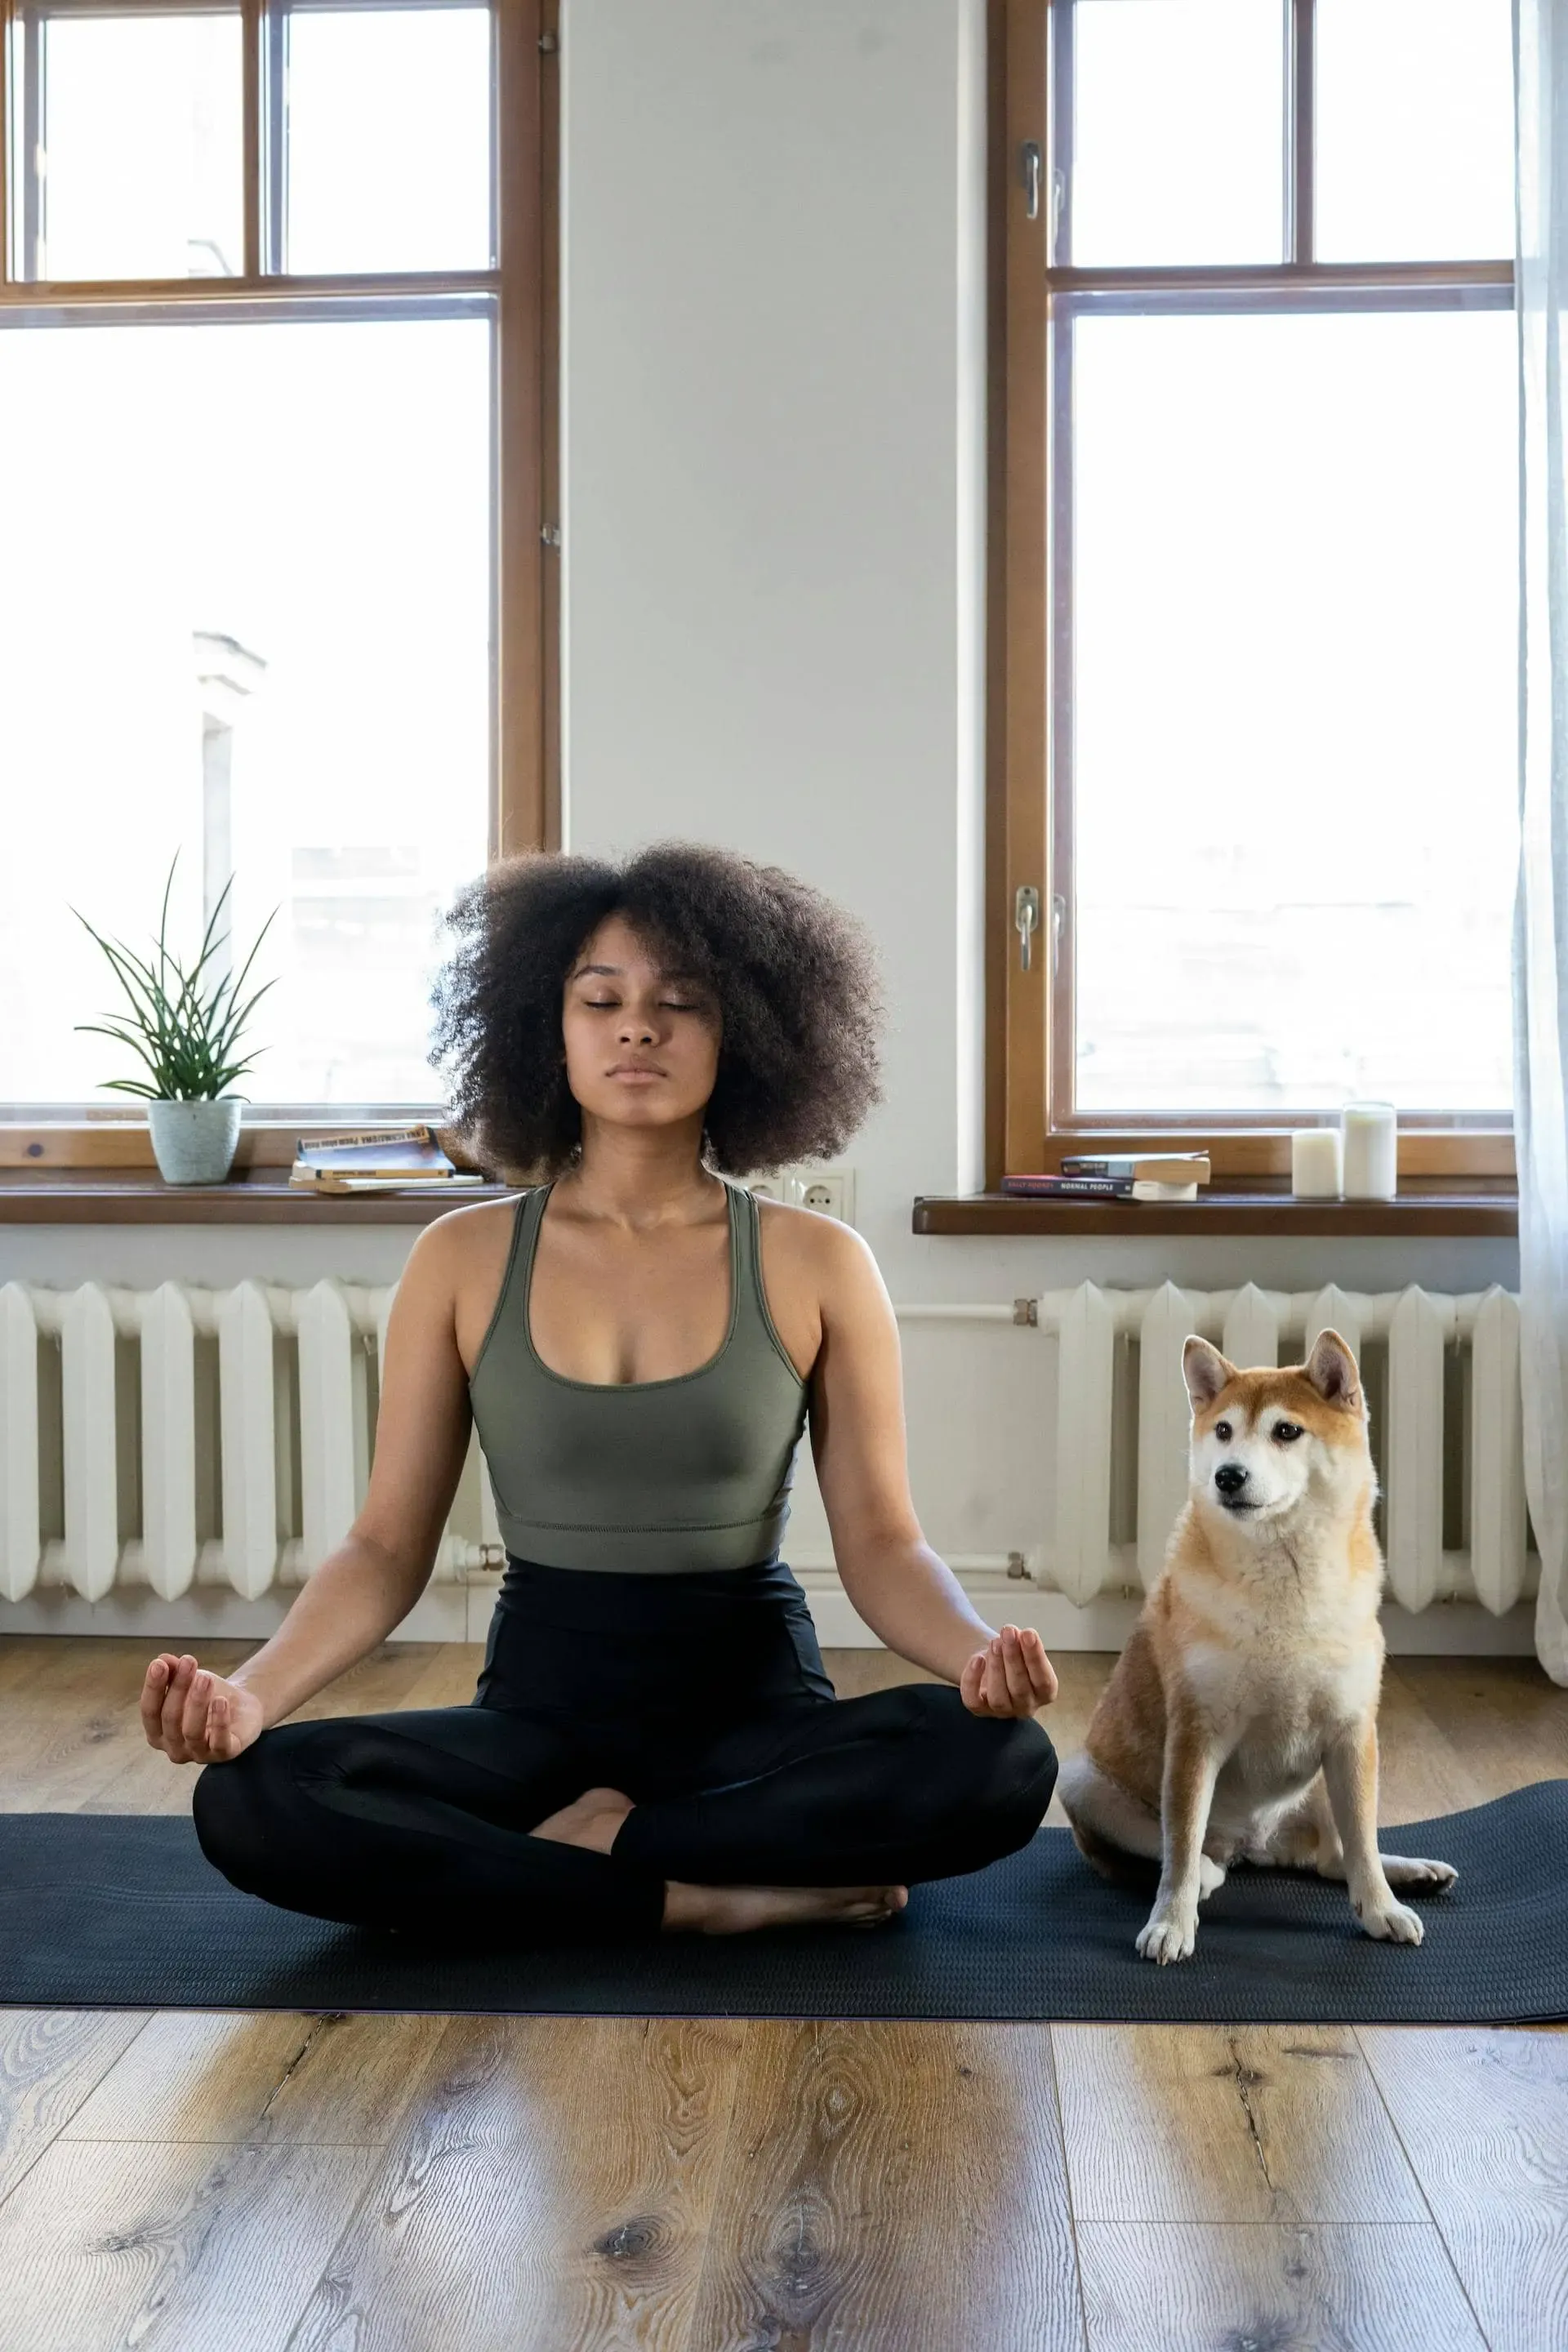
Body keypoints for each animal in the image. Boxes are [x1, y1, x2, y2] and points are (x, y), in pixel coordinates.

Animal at [1053, 1326, 1457, 1966]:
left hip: (1322, 1784)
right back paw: (1208, 1875)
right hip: (1082, 1779)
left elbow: (1363, 1844)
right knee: (1185, 1856)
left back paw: (1411, 1873)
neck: (1284, 1583)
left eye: (1286, 1431)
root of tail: (1254, 1845)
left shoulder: (1352, 1732)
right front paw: (1171, 1922)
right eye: (1223, 1431)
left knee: (1335, 1856)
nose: (1228, 1475)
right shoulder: (1195, 1734)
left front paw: (1382, 1908)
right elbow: (1180, 1845)